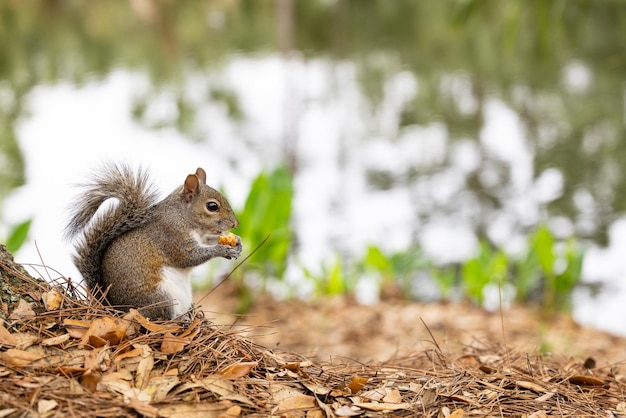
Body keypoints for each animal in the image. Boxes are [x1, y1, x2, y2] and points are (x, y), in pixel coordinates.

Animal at [66, 164, 241, 320]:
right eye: (212, 206)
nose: (235, 224)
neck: (183, 216)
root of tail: (111, 305)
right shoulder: (172, 236)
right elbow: (189, 257)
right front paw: (222, 250)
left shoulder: (202, 236)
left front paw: (237, 243)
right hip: (160, 298)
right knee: (161, 319)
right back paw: (179, 321)